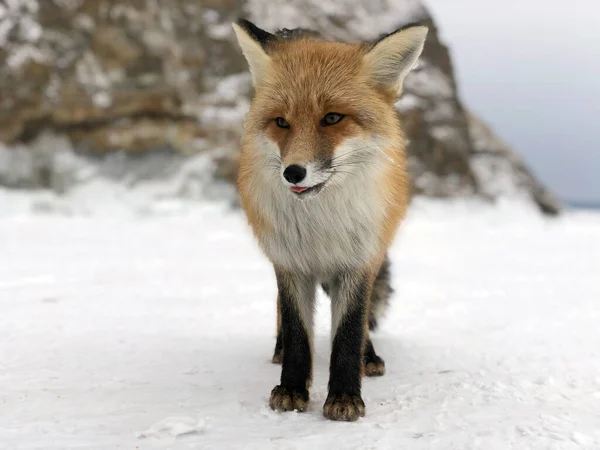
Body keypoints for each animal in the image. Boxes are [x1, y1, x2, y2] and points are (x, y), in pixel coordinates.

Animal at [232, 18, 428, 422]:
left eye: (333, 118)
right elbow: (296, 331)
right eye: (281, 122)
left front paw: (344, 397)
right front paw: (291, 389)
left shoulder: (359, 260)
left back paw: (370, 357)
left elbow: (349, 332)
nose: (293, 172)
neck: (321, 226)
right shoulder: (289, 262)